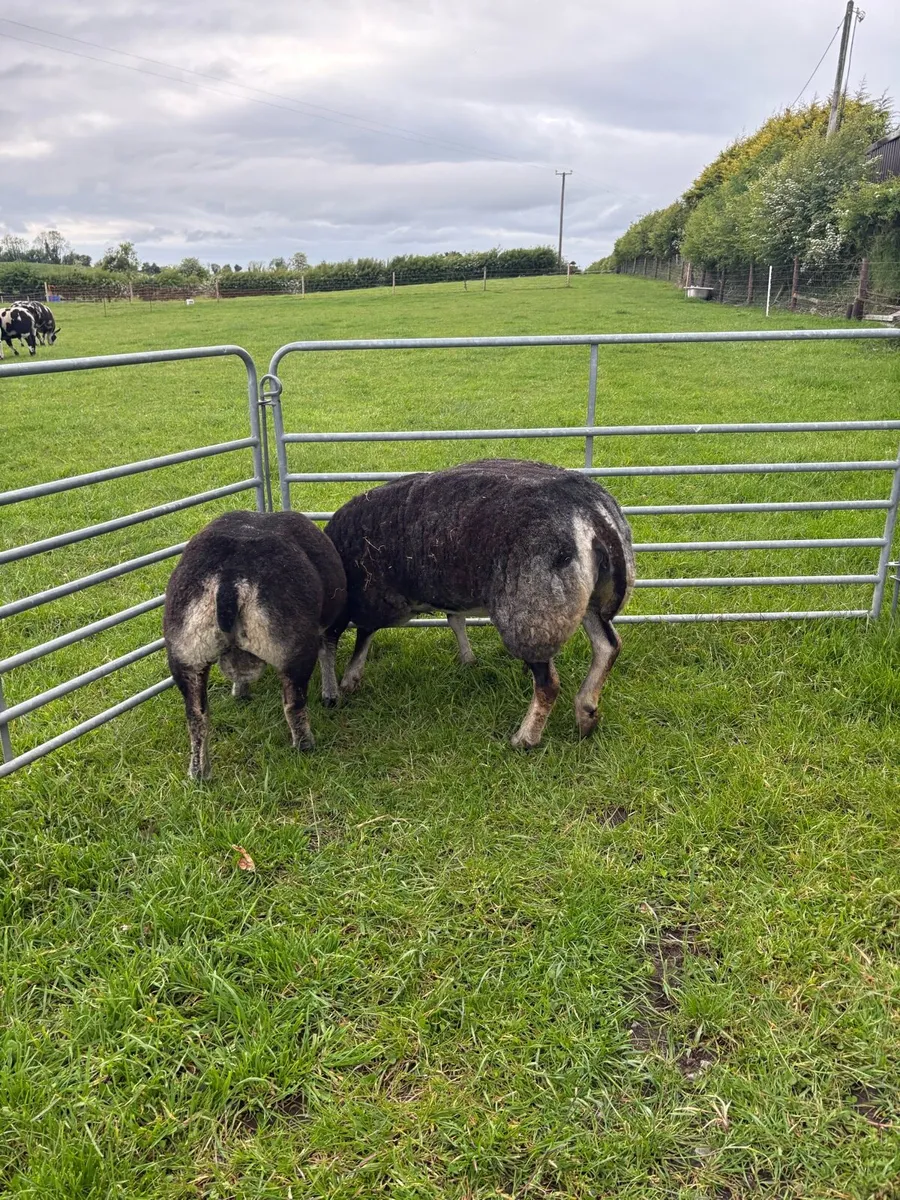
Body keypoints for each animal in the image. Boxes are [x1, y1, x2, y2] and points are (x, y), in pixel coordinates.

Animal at [164, 509, 347, 778]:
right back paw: (305, 746)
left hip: (186, 652)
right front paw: (331, 694)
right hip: (293, 649)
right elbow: (328, 654)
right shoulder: (329, 625)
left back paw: (199, 772)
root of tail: (230, 580)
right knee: (293, 705)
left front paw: (240, 691)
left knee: (196, 717)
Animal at [323, 458, 635, 748]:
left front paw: (347, 680)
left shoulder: (372, 597)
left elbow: (361, 635)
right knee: (607, 646)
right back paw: (586, 713)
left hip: (533, 612)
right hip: (586, 597)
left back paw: (526, 738)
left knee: (548, 684)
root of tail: (592, 513)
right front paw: (468, 660)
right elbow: (455, 620)